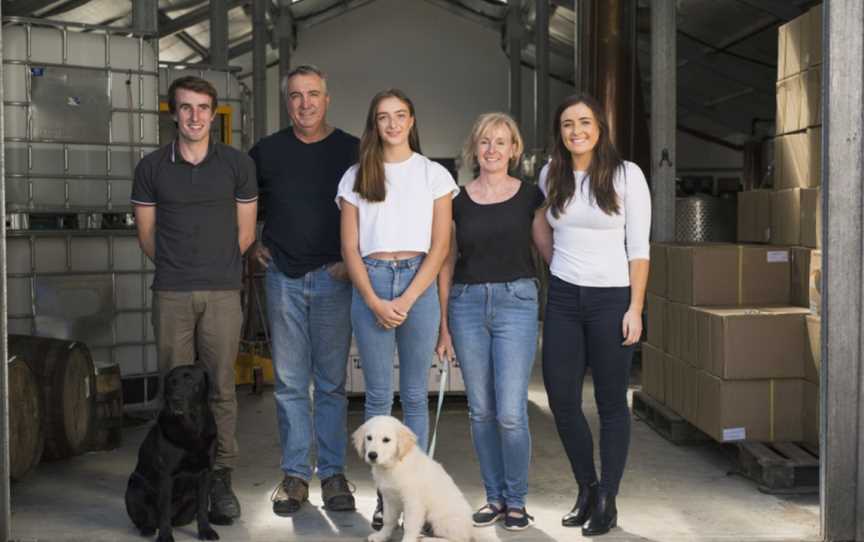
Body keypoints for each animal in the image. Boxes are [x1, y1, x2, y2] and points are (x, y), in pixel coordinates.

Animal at [126, 366, 226, 542]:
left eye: (190, 380)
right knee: (149, 516)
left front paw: (206, 531)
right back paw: (148, 528)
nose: (175, 399)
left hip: (190, 498)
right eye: (172, 383)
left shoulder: (206, 472)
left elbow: (202, 508)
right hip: (134, 486)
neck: (191, 428)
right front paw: (165, 536)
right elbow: (164, 510)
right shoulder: (167, 475)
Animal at [352, 418, 480, 540]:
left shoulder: (413, 502)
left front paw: (407, 539)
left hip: (441, 520)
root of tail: (470, 528)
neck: (394, 465)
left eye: (386, 440)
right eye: (369, 438)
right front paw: (381, 536)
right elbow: (388, 520)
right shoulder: (389, 498)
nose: (372, 455)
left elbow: (409, 525)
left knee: (457, 538)